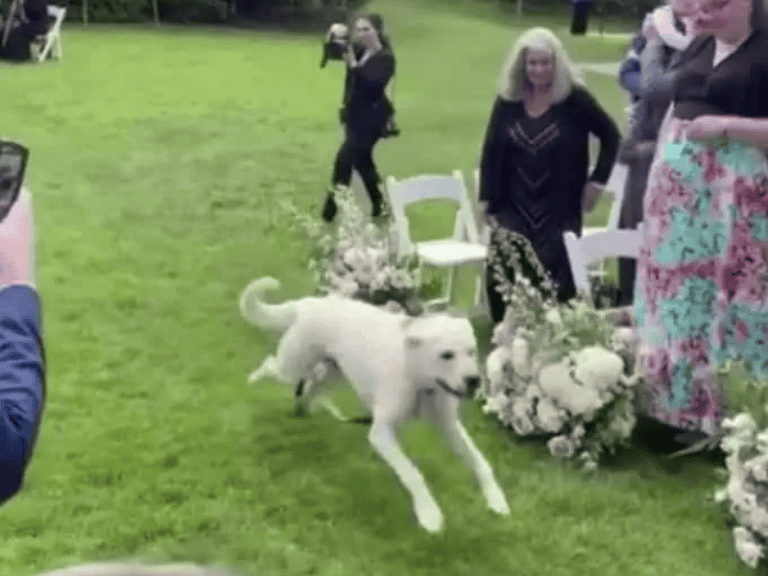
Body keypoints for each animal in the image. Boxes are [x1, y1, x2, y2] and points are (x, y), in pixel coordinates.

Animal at [240, 276, 510, 532]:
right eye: (446, 355)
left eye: (471, 352)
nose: (474, 380)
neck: (418, 382)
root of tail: (308, 303)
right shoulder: (381, 432)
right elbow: (413, 474)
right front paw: (429, 514)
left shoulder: (449, 426)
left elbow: (481, 462)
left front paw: (496, 499)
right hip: (292, 366)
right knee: (271, 365)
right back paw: (255, 378)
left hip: (334, 375)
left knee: (311, 389)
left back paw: (305, 409)